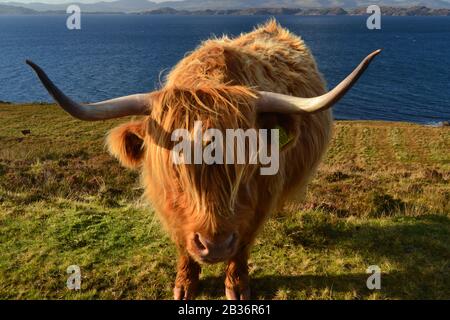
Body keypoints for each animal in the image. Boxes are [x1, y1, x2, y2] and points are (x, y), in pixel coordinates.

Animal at [27, 20, 380, 300]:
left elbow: (243, 246)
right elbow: (183, 247)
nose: (215, 245)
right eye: (176, 169)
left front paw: (237, 287)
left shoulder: (258, 205)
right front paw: (185, 285)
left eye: (247, 165)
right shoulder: (168, 207)